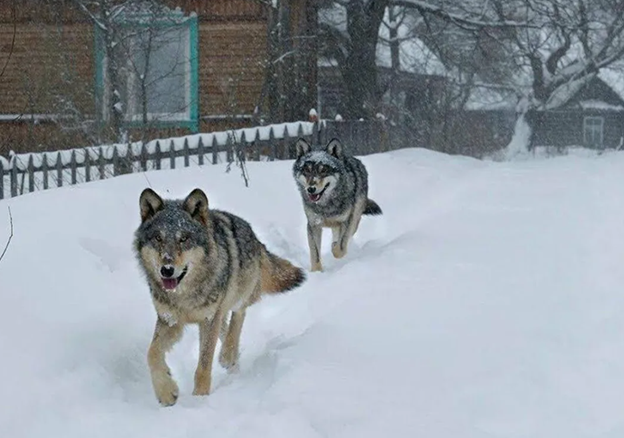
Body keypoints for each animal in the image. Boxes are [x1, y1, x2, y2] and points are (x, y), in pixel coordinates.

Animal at [133, 188, 304, 408]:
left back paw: (228, 355)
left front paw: (200, 399)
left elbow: (204, 364)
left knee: (238, 317)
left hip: (238, 295)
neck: (184, 295)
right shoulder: (170, 320)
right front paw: (166, 392)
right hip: (218, 313)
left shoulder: (208, 320)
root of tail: (255, 236)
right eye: (158, 238)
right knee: (225, 327)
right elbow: (152, 353)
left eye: (184, 238)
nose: (167, 270)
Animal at [294, 139, 386, 272]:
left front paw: (334, 247)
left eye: (323, 170)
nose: (311, 189)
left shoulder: (346, 222)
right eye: (307, 170)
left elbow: (340, 248)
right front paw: (316, 272)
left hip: (354, 219)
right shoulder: (313, 225)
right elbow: (315, 254)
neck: (326, 206)